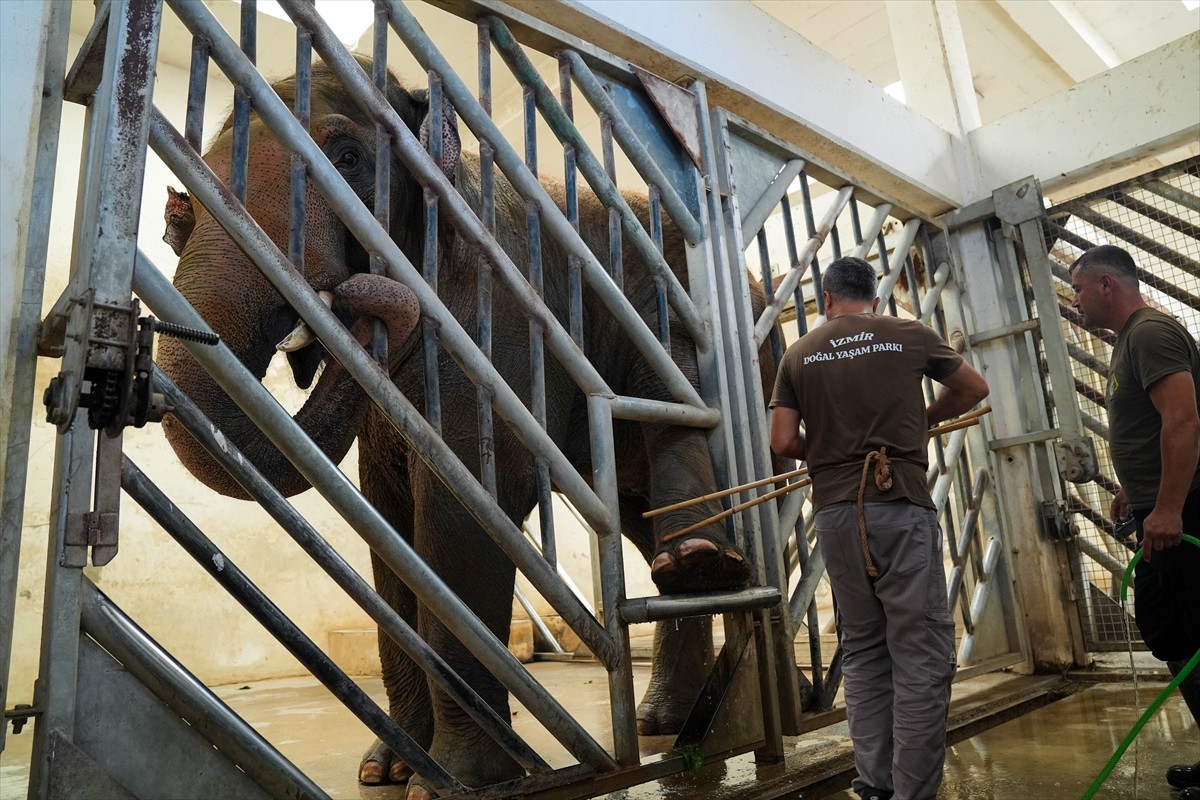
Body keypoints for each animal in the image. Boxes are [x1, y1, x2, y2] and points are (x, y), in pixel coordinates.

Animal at [159, 56, 792, 796]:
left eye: (347, 159)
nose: (356, 300)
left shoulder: (496, 321)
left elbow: (464, 519)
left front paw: (452, 783)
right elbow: (392, 529)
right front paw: (384, 773)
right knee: (644, 527)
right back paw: (671, 705)